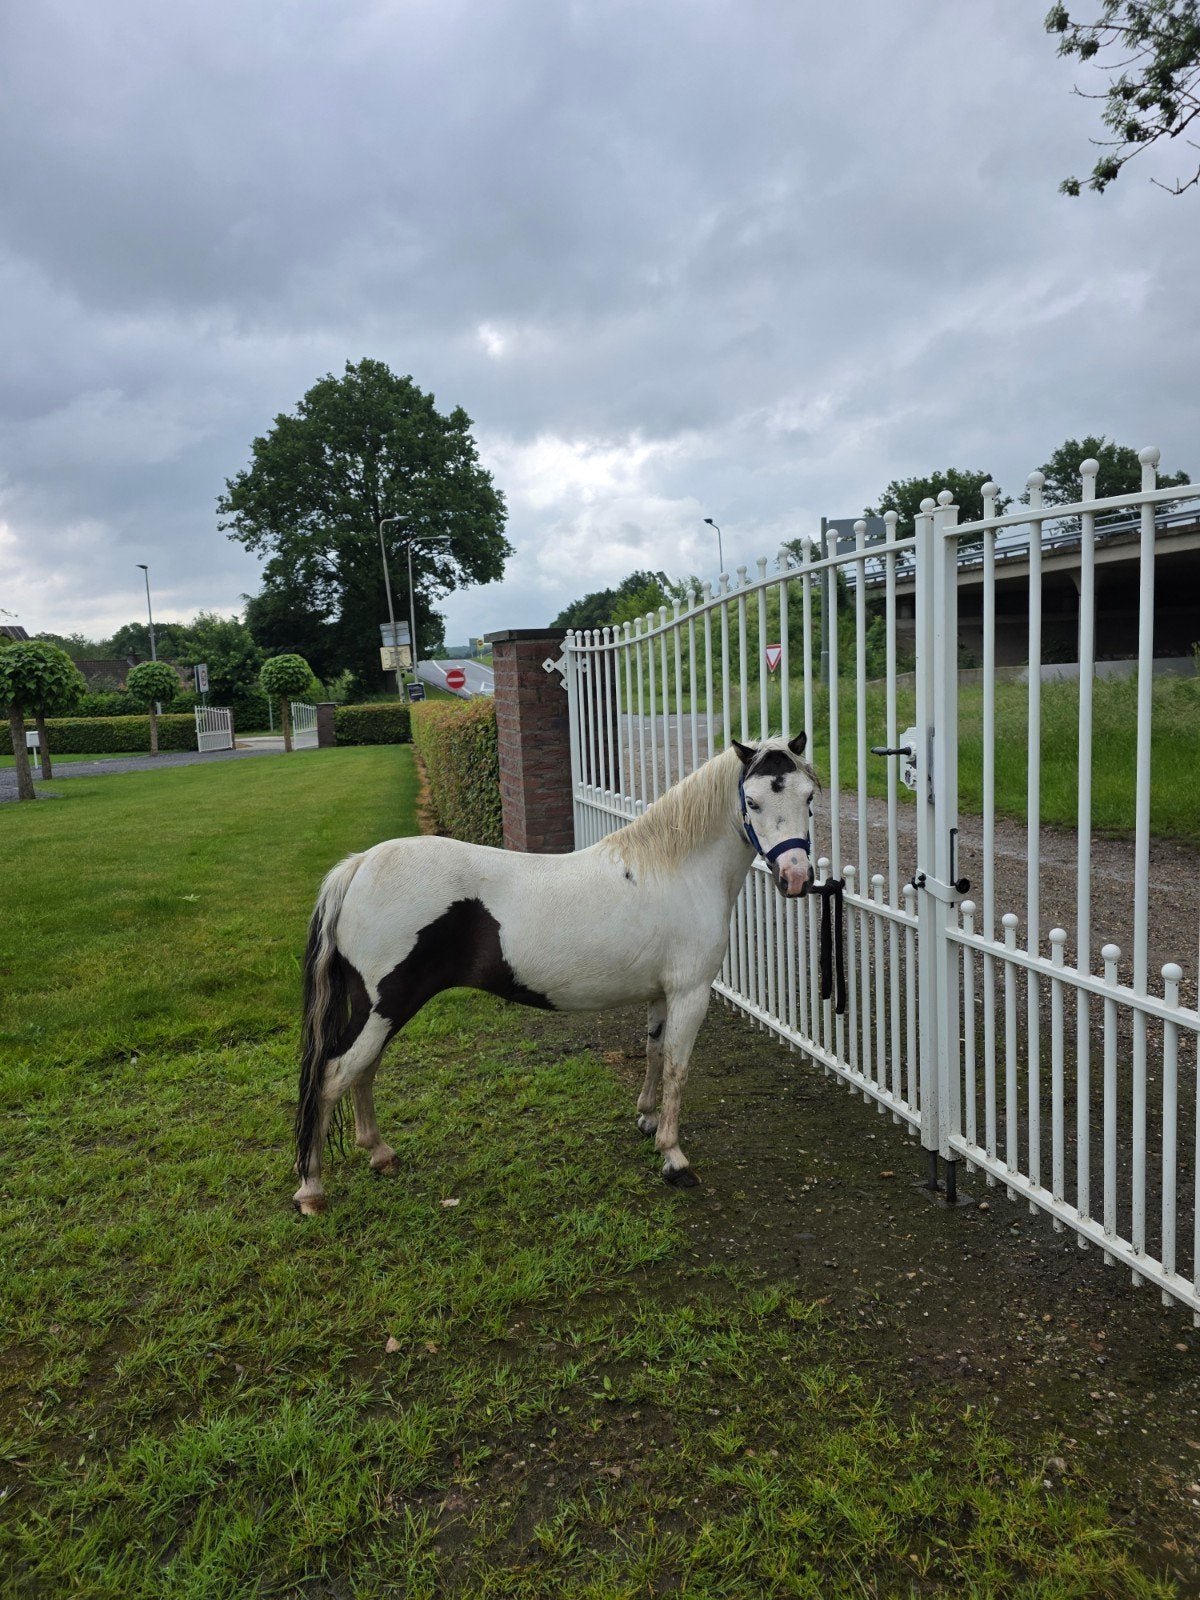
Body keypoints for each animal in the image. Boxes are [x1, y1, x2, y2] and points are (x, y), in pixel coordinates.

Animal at [293, 733, 817, 1214]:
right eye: (753, 800)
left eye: (809, 796)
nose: (796, 878)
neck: (675, 870)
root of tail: (360, 866)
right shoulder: (690, 993)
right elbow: (677, 1067)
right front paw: (673, 1158)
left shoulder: (661, 994)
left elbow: (653, 1053)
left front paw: (647, 1121)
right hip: (385, 1006)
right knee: (334, 1076)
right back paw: (312, 1190)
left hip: (382, 1012)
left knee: (363, 1072)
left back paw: (380, 1155)